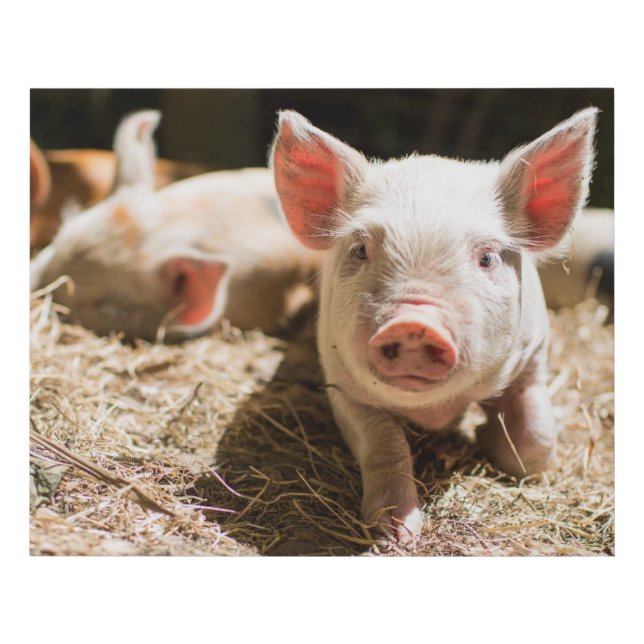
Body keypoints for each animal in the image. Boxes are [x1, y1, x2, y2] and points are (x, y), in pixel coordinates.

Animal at [270, 107, 598, 541]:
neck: (435, 411)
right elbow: (385, 444)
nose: (414, 323)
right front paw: (395, 534)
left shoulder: (534, 354)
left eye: (488, 257)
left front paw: (486, 437)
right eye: (360, 249)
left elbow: (535, 442)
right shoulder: (340, 381)